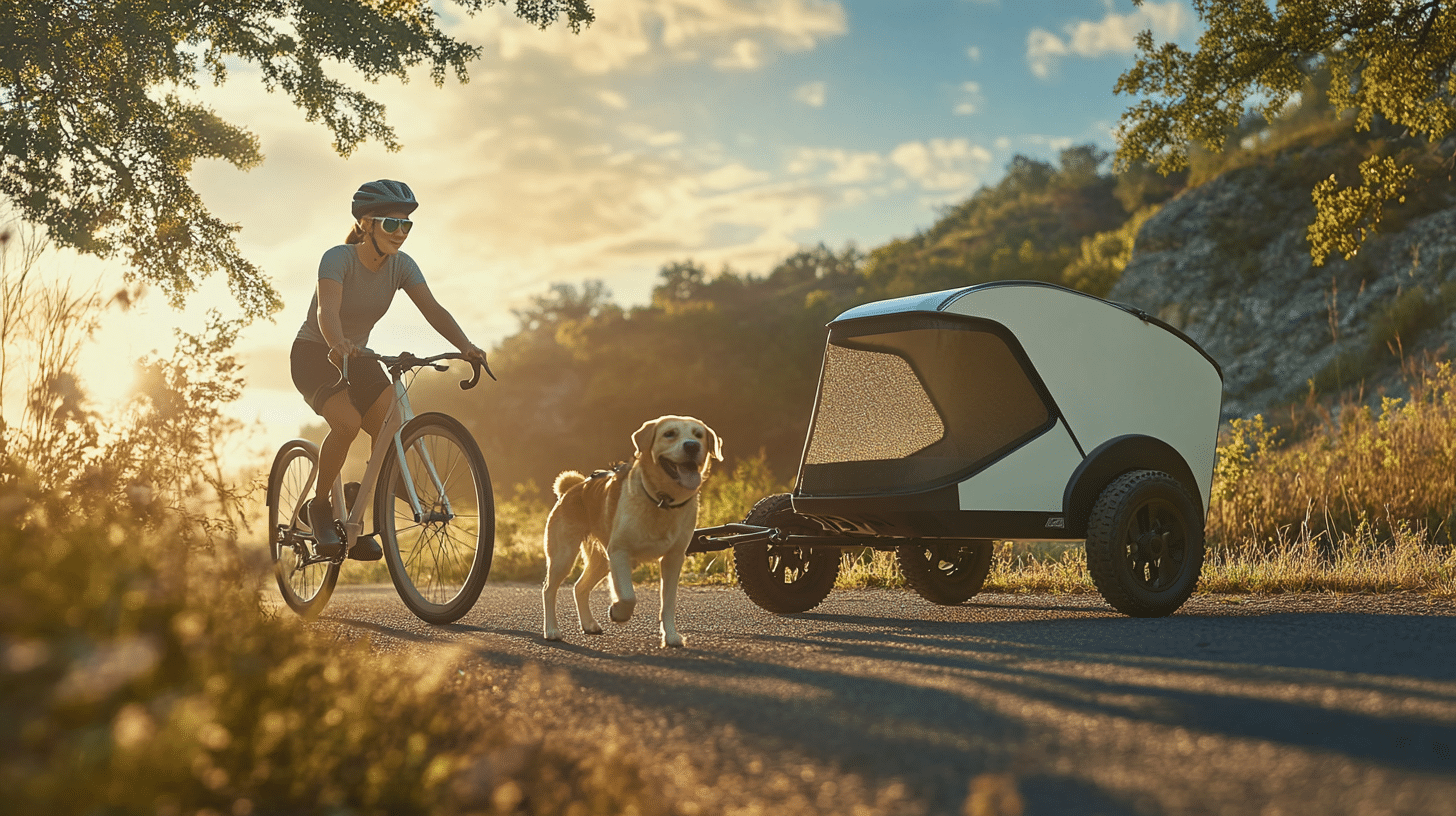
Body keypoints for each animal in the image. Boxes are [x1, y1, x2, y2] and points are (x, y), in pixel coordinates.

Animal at [541, 416, 722, 646]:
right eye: (669, 434)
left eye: (698, 435)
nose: (692, 446)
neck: (662, 501)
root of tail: (571, 489)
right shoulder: (620, 553)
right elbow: (628, 596)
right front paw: (619, 612)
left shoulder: (673, 559)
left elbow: (668, 603)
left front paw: (671, 636)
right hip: (564, 556)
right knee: (548, 589)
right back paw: (551, 630)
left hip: (601, 561)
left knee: (579, 587)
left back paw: (589, 624)